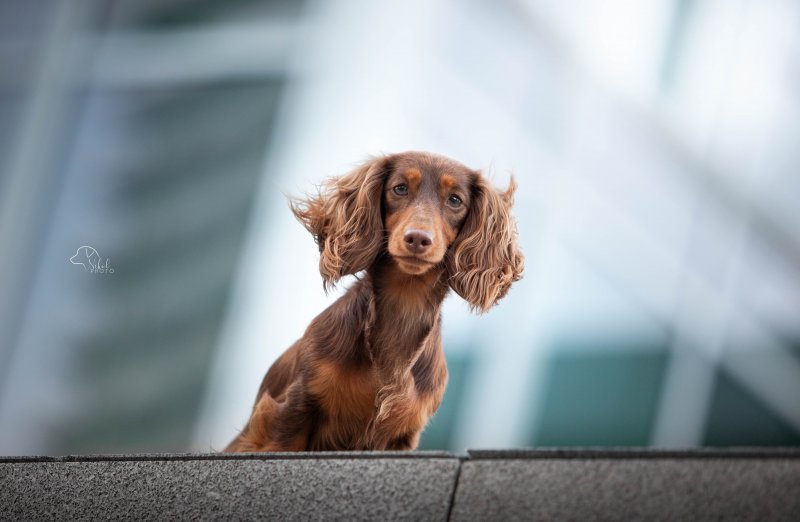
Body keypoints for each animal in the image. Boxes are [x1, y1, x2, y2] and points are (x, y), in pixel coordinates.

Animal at [225, 151, 524, 450]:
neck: (405, 300)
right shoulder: (292, 409)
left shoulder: (403, 436)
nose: (417, 239)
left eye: (455, 200)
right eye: (400, 188)